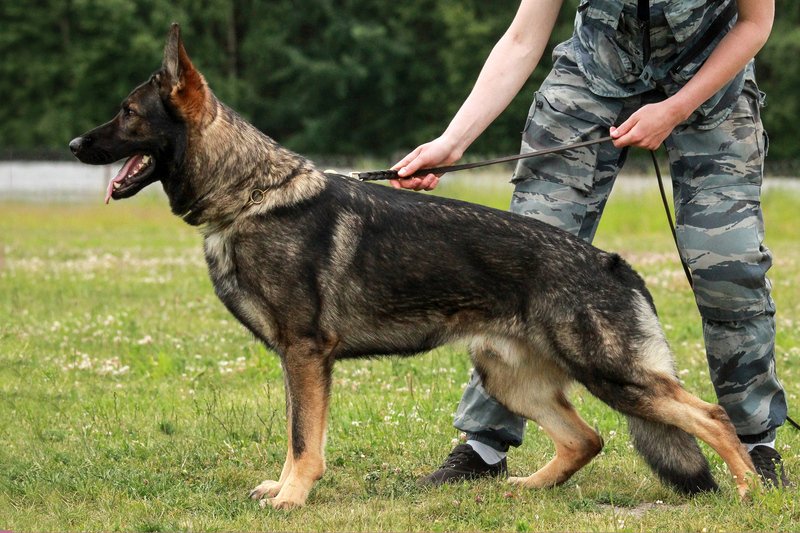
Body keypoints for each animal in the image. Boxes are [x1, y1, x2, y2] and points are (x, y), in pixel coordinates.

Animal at [70, 23, 756, 508]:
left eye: (127, 113)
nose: (75, 144)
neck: (250, 195)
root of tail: (614, 263)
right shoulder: (300, 359)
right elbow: (297, 432)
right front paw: (284, 488)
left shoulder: (306, 353)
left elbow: (303, 437)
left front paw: (293, 495)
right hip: (511, 379)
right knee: (588, 438)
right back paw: (529, 487)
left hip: (611, 373)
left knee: (712, 415)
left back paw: (751, 490)